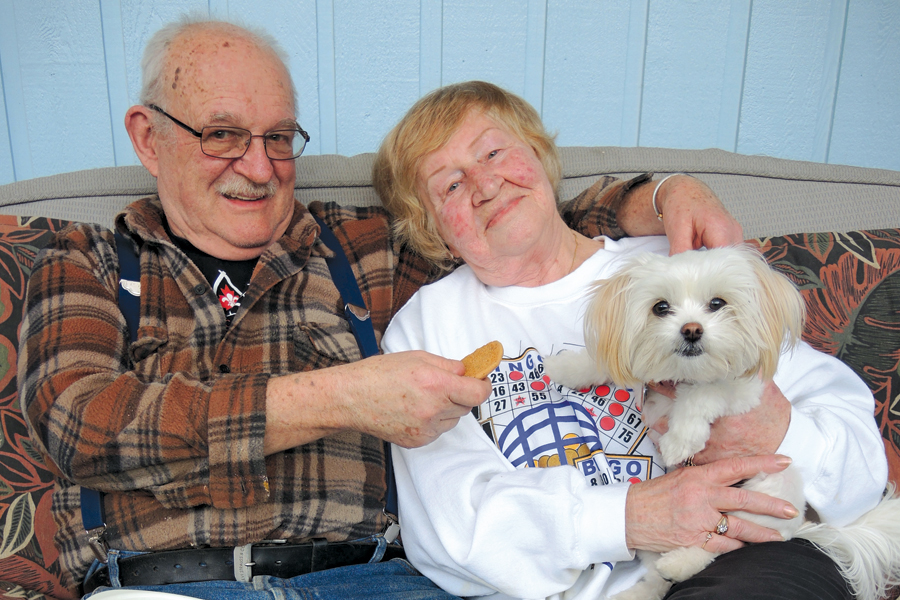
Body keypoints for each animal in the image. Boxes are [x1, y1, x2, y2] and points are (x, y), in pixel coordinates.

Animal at [540, 244, 900, 600]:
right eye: (660, 307)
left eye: (717, 303)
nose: (691, 330)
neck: (686, 374)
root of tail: (798, 526)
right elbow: (599, 362)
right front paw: (563, 368)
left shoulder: (744, 392)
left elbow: (705, 392)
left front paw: (680, 439)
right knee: (658, 577)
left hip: (762, 494)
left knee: (719, 543)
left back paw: (681, 562)